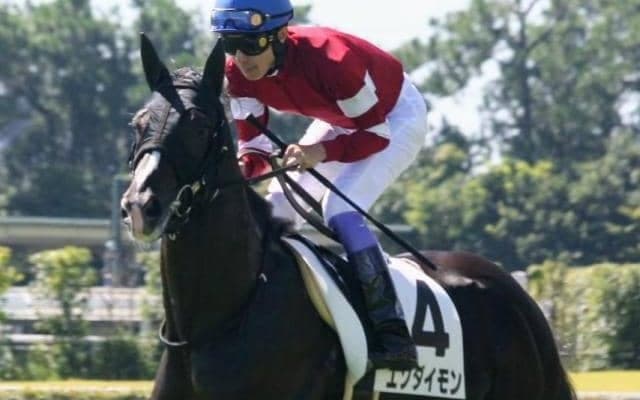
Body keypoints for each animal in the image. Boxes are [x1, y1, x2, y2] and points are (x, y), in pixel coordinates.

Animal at [120, 34, 576, 400]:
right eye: (138, 123)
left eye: (198, 125)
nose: (142, 205)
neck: (214, 321)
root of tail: (519, 298)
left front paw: (301, 156)